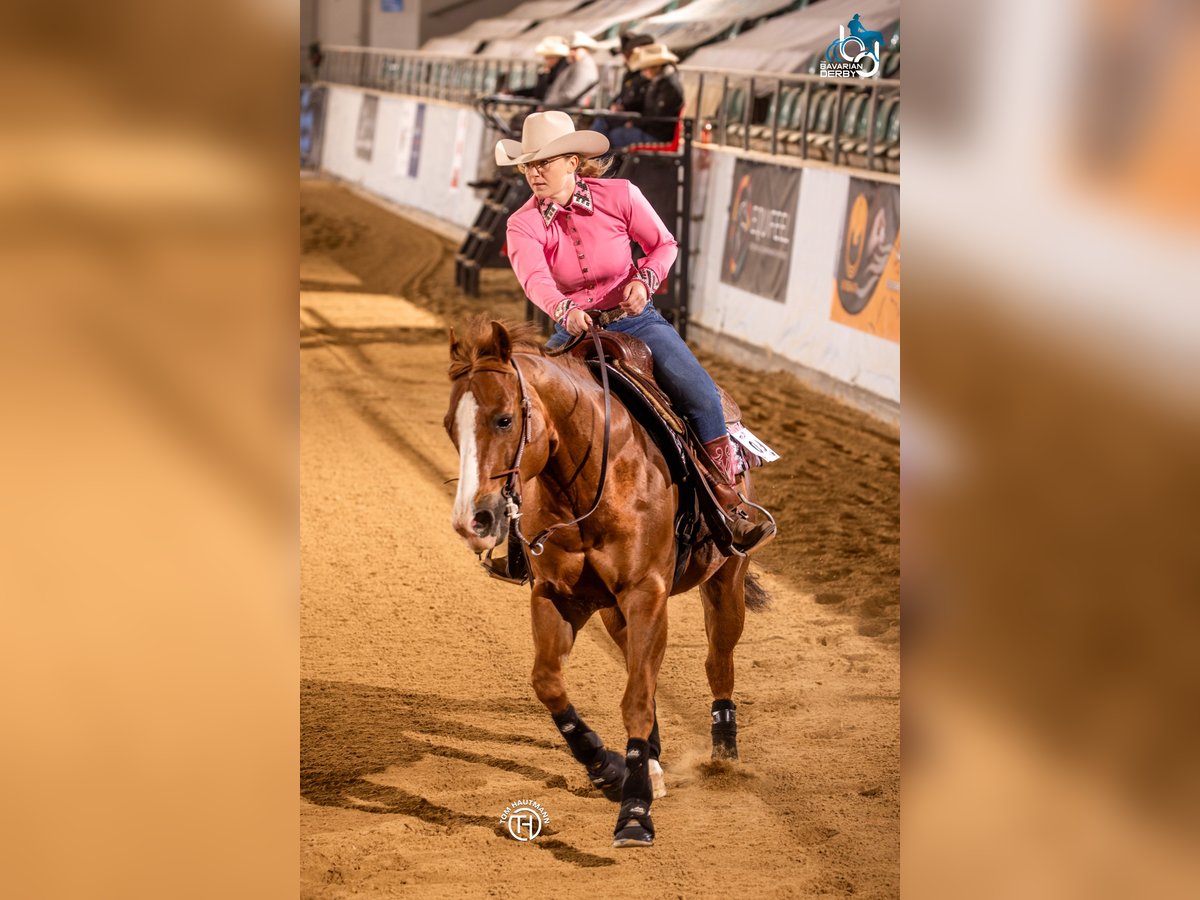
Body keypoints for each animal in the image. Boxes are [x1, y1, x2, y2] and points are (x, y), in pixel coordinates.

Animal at [444, 317, 770, 848]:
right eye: (450, 426)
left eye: (505, 420)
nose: (472, 520)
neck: (594, 475)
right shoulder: (558, 596)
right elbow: (549, 682)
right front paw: (609, 769)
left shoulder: (647, 594)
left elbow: (635, 699)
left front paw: (634, 812)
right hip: (616, 612)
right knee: (645, 670)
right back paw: (651, 762)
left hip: (724, 582)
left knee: (717, 660)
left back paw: (724, 756)